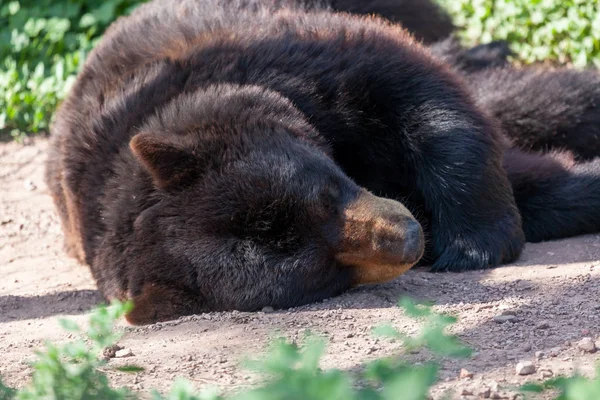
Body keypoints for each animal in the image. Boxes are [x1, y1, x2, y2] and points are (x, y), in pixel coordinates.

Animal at [45, 0, 600, 324]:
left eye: (326, 193)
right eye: (326, 272)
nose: (409, 238)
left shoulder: (279, 59)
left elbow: (417, 88)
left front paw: (474, 242)